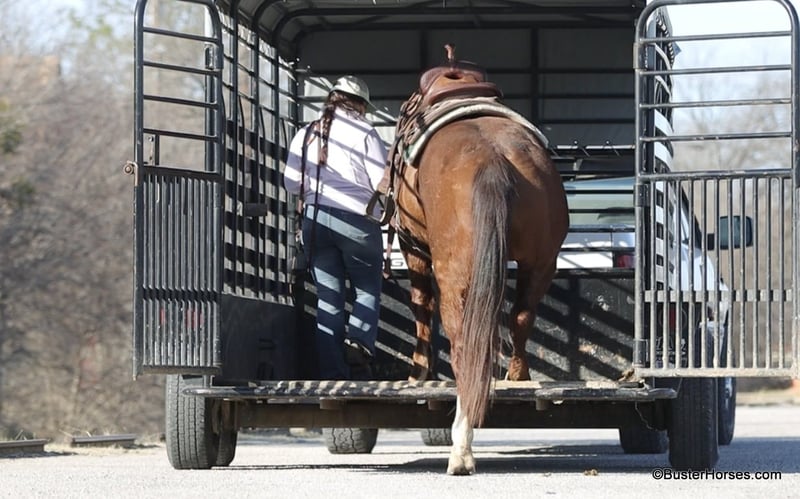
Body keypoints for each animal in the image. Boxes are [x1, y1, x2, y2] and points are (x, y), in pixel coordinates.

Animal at [382, 46, 569, 475]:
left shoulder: (413, 248)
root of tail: (493, 160)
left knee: (464, 344)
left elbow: (421, 308)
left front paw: (418, 373)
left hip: (456, 276)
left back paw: (461, 449)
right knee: (521, 318)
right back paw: (518, 377)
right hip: (541, 264)